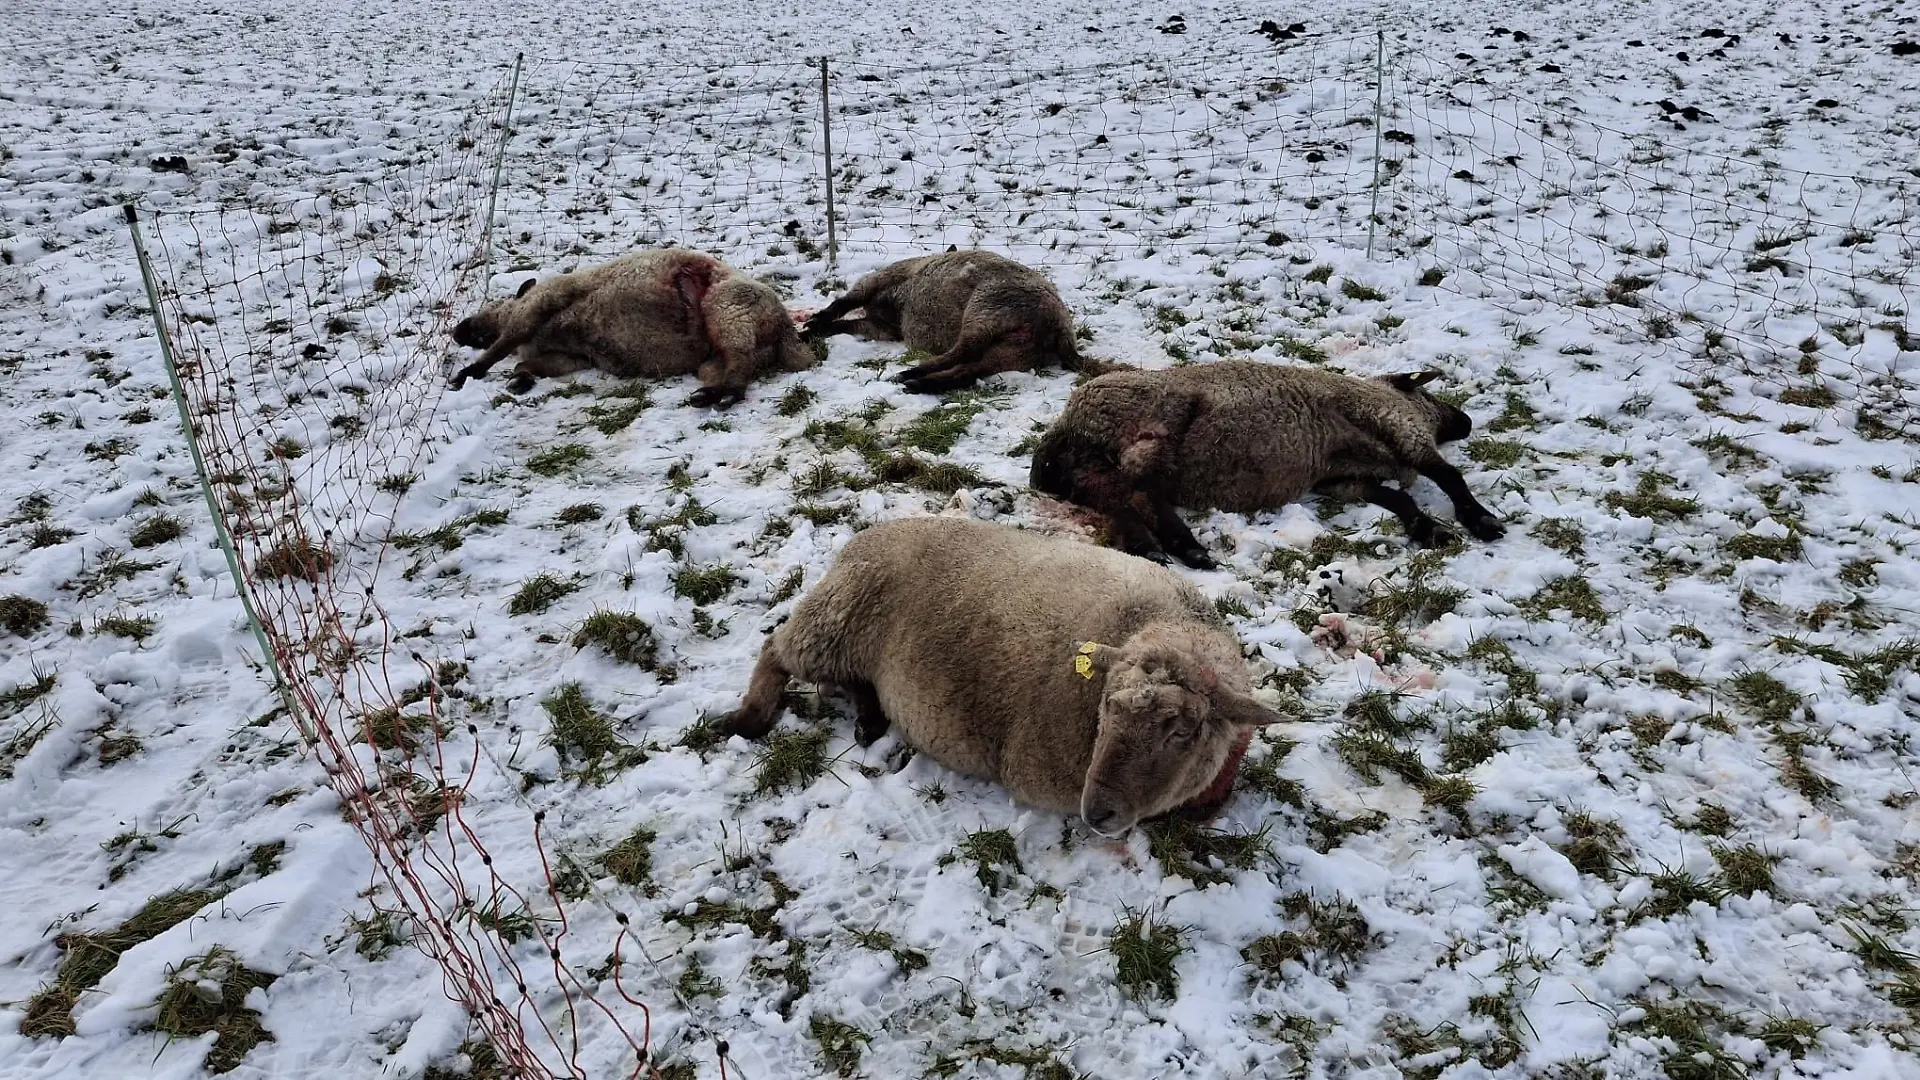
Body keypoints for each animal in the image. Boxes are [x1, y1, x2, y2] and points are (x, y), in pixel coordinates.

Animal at [448, 249, 817, 408]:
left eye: (489, 306)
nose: (457, 331)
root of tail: (785, 330)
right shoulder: (572, 358)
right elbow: (526, 364)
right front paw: (520, 380)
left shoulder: (540, 303)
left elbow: (500, 347)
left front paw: (465, 376)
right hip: (715, 354)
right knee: (732, 368)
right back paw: (708, 395)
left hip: (728, 309)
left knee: (740, 362)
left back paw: (723, 397)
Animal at [719, 516, 1284, 835]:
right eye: (1106, 708)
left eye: (1182, 732)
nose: (1096, 813)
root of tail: (866, 536)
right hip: (836, 618)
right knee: (775, 649)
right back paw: (749, 718)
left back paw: (870, 720)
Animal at [800, 249, 1108, 393]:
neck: (895, 306)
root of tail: (1058, 328)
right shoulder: (882, 327)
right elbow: (845, 323)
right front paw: (810, 331)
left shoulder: (884, 278)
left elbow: (844, 302)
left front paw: (809, 327)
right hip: (1015, 352)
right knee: (969, 369)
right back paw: (917, 384)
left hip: (986, 309)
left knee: (963, 353)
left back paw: (906, 375)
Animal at [1027, 361, 1506, 568]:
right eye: (1427, 392)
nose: (1466, 421)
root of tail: (1066, 424)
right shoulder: (1397, 425)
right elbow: (1447, 474)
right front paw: (1479, 520)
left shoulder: (1341, 480)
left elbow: (1397, 499)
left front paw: (1426, 528)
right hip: (1154, 423)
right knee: (1136, 489)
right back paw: (1170, 546)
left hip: (1093, 462)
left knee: (1119, 495)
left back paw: (1169, 546)